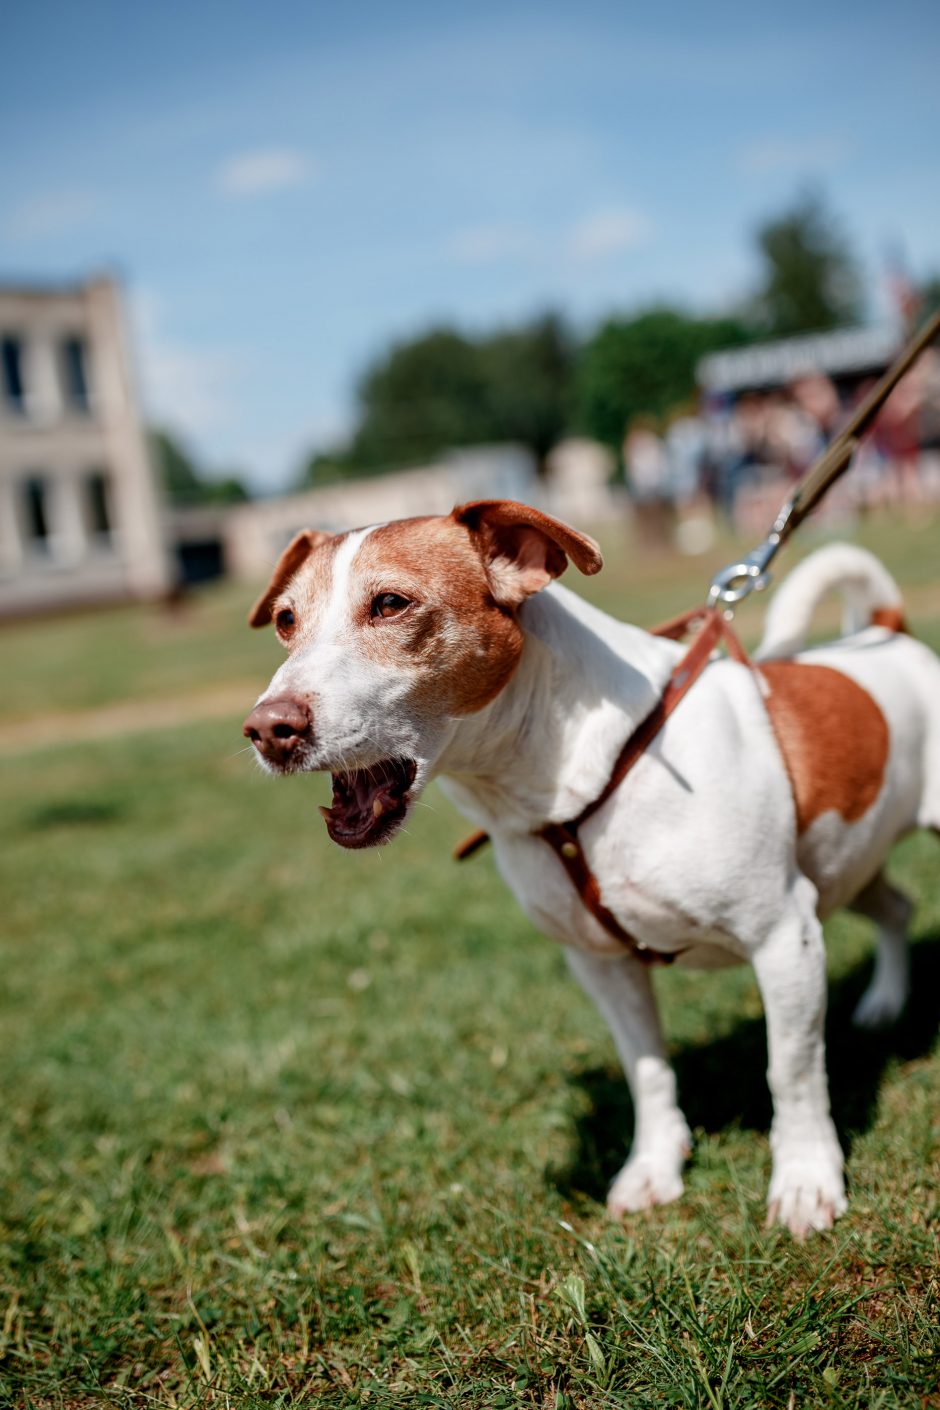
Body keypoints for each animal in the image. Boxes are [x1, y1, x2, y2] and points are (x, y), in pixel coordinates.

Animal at [245, 504, 940, 1235]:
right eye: (286, 619)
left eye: (390, 604)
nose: (266, 729)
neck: (577, 775)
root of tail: (887, 631)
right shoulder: (601, 962)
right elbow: (647, 1070)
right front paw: (654, 1168)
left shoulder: (783, 936)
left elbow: (793, 1070)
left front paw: (806, 1180)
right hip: (844, 867)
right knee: (895, 906)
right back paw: (885, 1003)